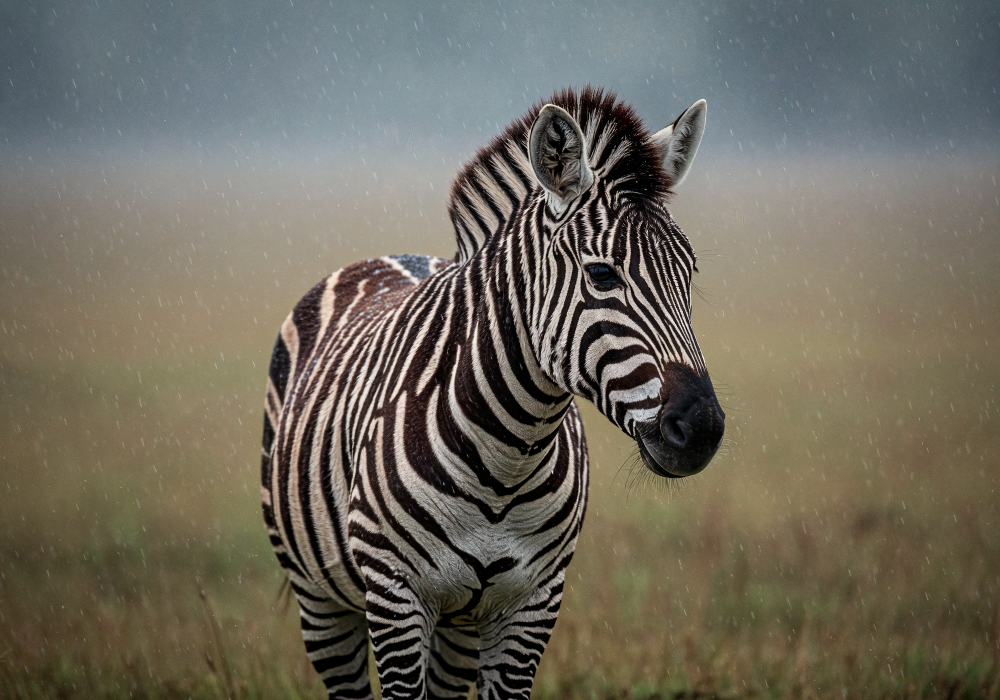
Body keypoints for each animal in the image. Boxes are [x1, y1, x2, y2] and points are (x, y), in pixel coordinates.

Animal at [261, 87, 725, 699]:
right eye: (602, 275)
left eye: (688, 273)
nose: (702, 428)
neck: (507, 459)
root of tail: (389, 256)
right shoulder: (396, 596)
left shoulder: (533, 603)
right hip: (319, 601)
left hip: (459, 625)